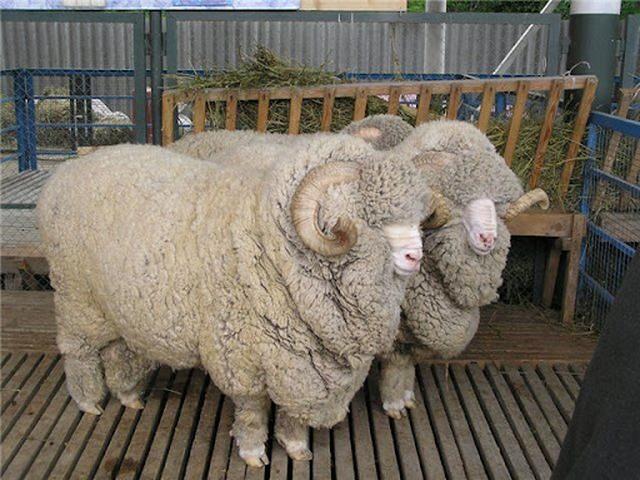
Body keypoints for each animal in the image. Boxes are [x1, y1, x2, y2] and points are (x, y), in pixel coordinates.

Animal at [37, 136, 432, 466]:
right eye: (368, 216)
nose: (416, 256)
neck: (270, 244)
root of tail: (70, 169)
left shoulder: (299, 361)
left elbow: (292, 411)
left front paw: (295, 446)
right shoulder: (240, 351)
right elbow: (253, 409)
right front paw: (253, 452)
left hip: (111, 306)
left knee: (115, 349)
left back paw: (128, 396)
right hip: (75, 297)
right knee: (79, 352)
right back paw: (89, 402)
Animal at [377, 120, 549, 418]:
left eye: (497, 205)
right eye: (459, 202)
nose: (488, 239)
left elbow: (408, 362)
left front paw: (406, 395)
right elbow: (396, 362)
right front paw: (393, 403)